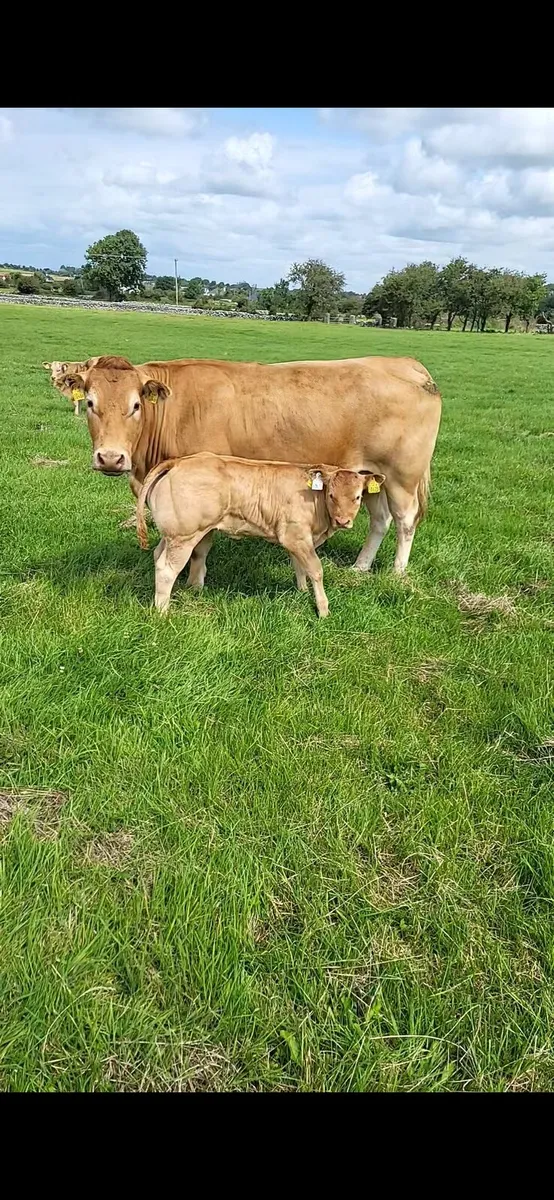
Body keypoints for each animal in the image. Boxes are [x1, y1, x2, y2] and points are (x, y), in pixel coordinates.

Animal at [56, 353, 442, 574]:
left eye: (136, 405)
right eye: (90, 402)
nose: (110, 457)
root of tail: (407, 364)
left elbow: (201, 546)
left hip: (402, 476)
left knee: (405, 521)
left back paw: (397, 573)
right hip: (367, 475)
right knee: (380, 520)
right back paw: (360, 568)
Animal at [136, 453, 385, 615]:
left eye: (358, 497)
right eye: (332, 495)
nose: (343, 521)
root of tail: (179, 461)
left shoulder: (299, 539)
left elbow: (299, 567)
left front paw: (302, 591)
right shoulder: (295, 535)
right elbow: (316, 570)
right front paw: (323, 609)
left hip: (171, 536)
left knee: (157, 555)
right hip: (184, 536)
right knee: (166, 569)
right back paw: (162, 612)